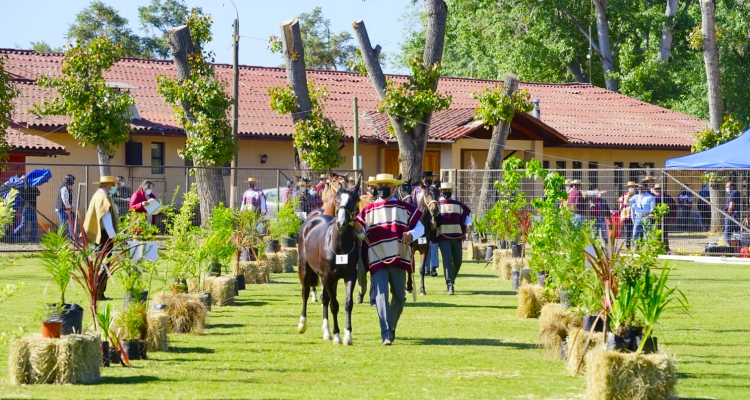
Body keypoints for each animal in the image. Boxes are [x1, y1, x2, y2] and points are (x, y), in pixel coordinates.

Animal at [296, 178, 362, 344]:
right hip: (307, 270)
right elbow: (334, 305)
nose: (341, 223)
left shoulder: (349, 276)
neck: (340, 246)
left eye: (355, 200)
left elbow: (347, 304)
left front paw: (347, 336)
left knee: (324, 299)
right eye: (338, 199)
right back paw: (302, 324)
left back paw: (326, 332)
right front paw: (337, 336)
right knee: (306, 293)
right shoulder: (328, 276)